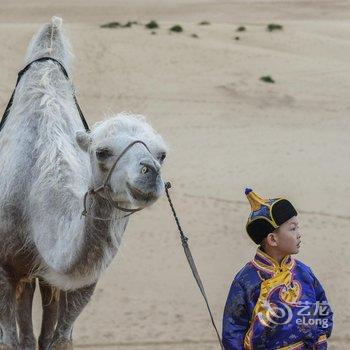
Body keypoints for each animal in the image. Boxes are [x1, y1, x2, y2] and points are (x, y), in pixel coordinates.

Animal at [0, 17, 167, 350]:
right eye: (101, 152)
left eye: (162, 155)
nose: (150, 173)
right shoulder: (3, 267)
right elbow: (11, 341)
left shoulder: (81, 281)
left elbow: (59, 339)